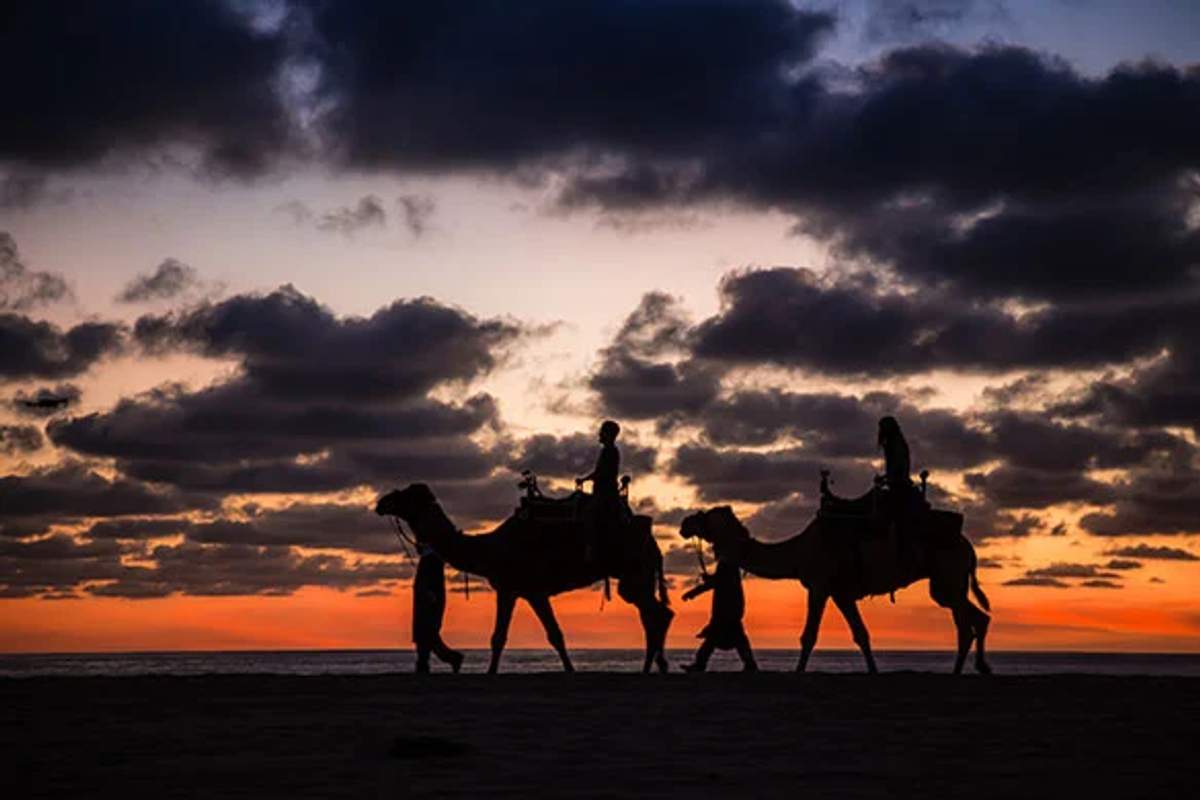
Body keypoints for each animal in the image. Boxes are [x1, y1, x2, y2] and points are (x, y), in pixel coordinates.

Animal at [376, 483, 674, 673]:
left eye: (406, 495)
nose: (381, 502)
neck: (491, 548)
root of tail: (653, 542)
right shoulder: (513, 589)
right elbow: (506, 637)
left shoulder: (529, 589)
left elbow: (547, 635)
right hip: (639, 576)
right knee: (656, 614)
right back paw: (657, 665)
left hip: (634, 573)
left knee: (656, 614)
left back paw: (650, 667)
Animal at [679, 502, 992, 675]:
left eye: (707, 515)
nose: (684, 523)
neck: (798, 551)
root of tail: (969, 547)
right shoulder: (840, 592)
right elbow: (861, 634)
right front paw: (873, 670)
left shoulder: (819, 585)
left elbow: (809, 636)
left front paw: (798, 671)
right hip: (947, 583)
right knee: (978, 618)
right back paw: (981, 667)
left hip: (949, 575)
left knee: (965, 626)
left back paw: (957, 671)